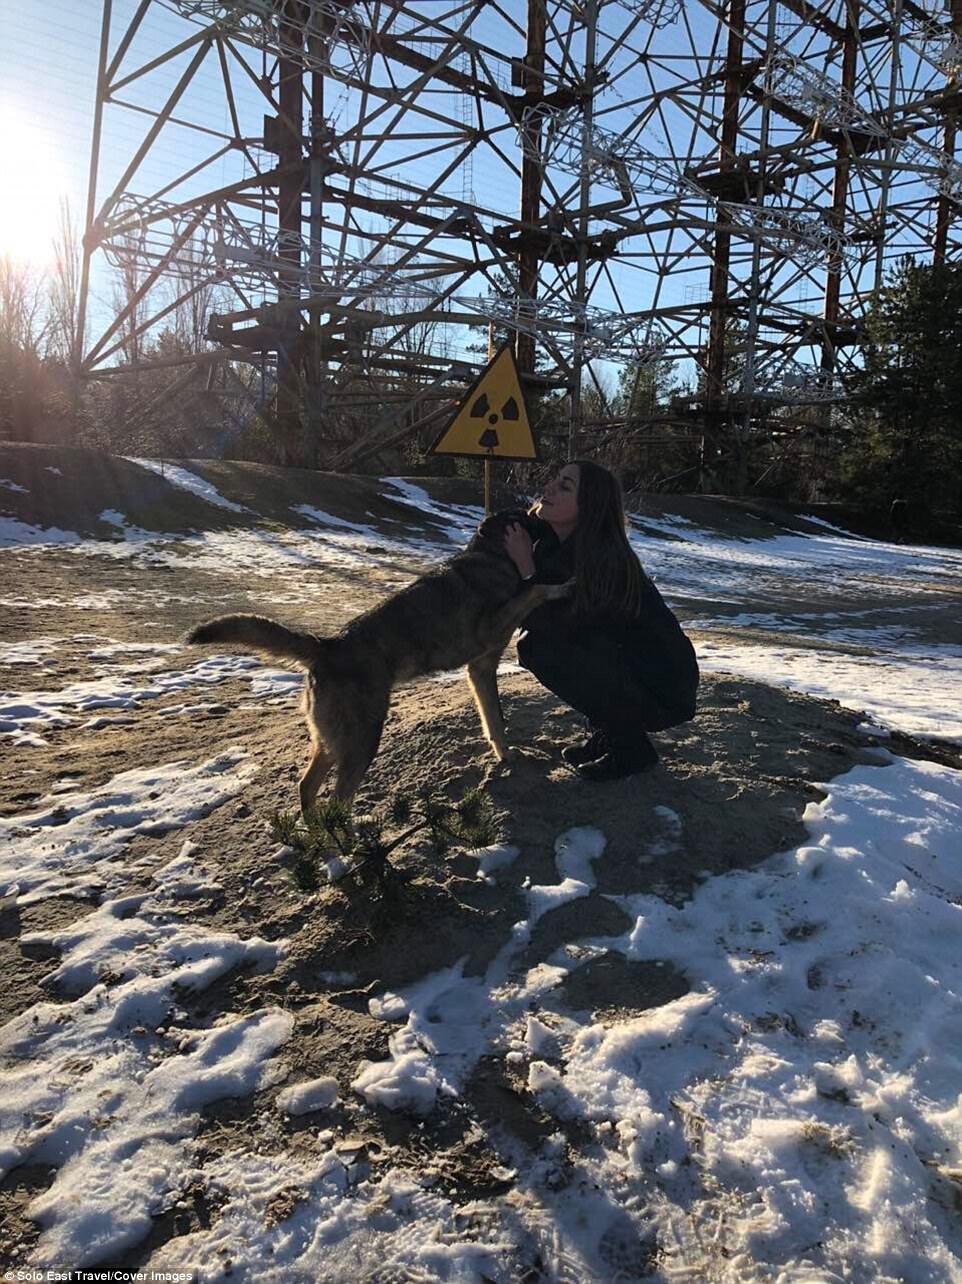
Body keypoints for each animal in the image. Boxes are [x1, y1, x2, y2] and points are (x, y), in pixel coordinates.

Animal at [186, 511, 570, 811]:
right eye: (529, 515)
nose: (553, 527)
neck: (490, 555)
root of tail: (327, 646)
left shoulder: (481, 668)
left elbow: (495, 722)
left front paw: (505, 756)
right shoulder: (491, 630)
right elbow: (535, 588)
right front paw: (562, 585)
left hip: (332, 740)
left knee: (308, 788)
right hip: (362, 738)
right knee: (338, 801)